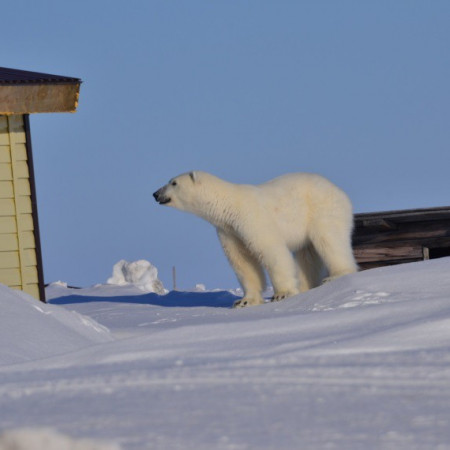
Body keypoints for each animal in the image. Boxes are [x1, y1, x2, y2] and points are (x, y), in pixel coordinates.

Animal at [153, 171, 356, 308]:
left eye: (173, 182)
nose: (155, 193)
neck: (229, 205)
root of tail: (339, 191)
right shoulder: (229, 231)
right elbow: (243, 262)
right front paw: (244, 301)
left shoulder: (252, 219)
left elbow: (271, 251)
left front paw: (282, 294)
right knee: (307, 255)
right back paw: (306, 287)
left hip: (322, 209)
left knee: (329, 240)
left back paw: (337, 275)